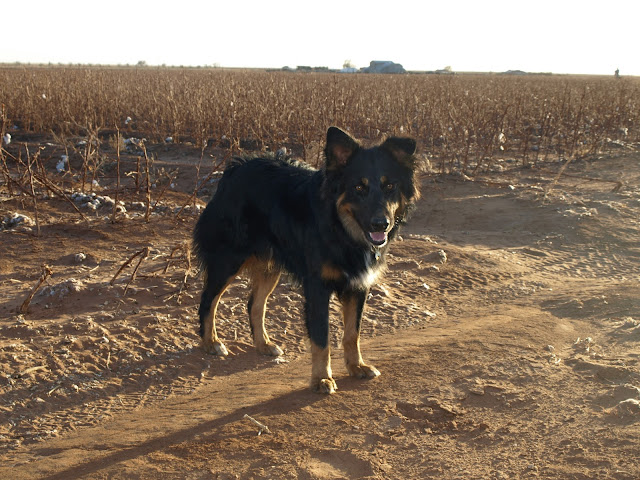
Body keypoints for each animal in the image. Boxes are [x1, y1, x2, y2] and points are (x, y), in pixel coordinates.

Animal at [193, 127, 420, 393]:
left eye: (390, 186)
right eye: (358, 188)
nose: (380, 224)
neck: (340, 229)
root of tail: (235, 167)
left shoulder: (358, 285)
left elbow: (352, 334)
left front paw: (356, 367)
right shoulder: (317, 288)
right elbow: (321, 339)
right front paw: (321, 378)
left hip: (270, 265)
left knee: (254, 305)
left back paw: (263, 344)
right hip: (228, 260)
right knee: (208, 300)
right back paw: (211, 342)